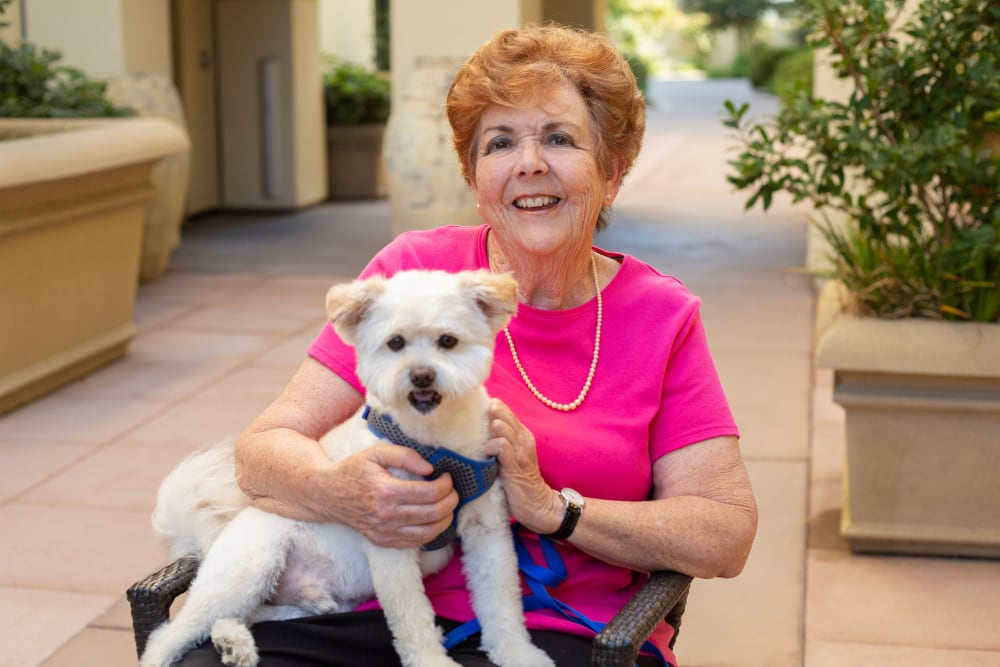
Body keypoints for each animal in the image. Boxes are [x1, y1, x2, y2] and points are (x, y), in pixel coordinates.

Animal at [143, 268, 556, 667]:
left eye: (448, 340)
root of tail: (217, 538)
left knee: (249, 616)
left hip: (309, 600)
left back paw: (234, 643)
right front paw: (430, 660)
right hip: (250, 565)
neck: (431, 444)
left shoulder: (487, 531)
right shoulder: (391, 536)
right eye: (395, 343)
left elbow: (502, 603)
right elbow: (412, 617)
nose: (421, 375)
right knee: (171, 633)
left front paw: (517, 654)